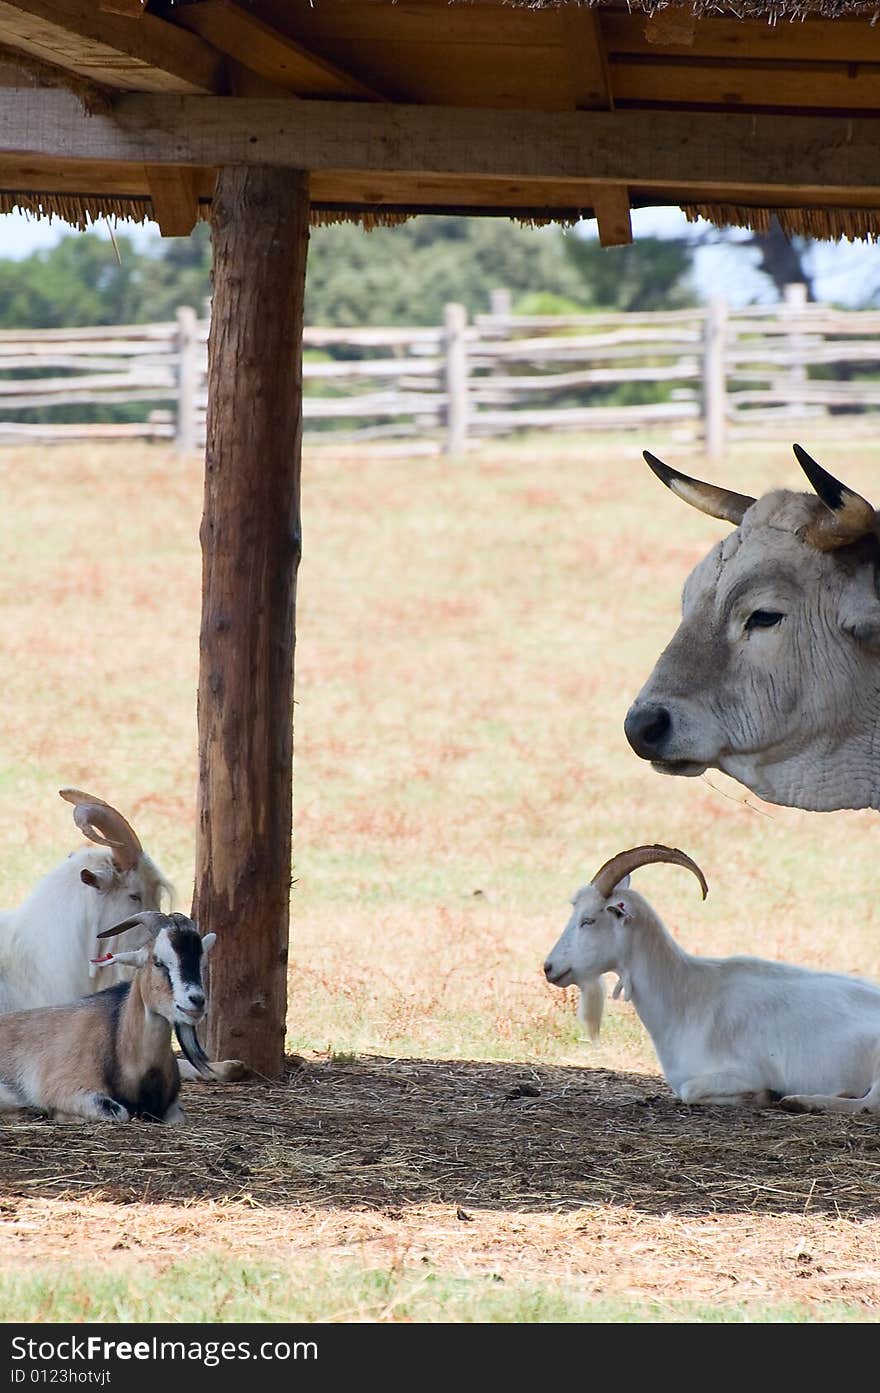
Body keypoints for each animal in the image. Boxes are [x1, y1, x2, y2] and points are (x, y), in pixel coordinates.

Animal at [0, 908, 215, 1125]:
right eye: (158, 962)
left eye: (202, 963)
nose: (197, 1001)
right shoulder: (66, 1088)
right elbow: (119, 1112)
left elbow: (179, 1117)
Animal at [540, 841, 880, 1114]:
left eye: (588, 920)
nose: (549, 967)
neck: (687, 995)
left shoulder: (742, 1071)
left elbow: (690, 1090)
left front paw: (764, 1095)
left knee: (869, 1104)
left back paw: (801, 1101)